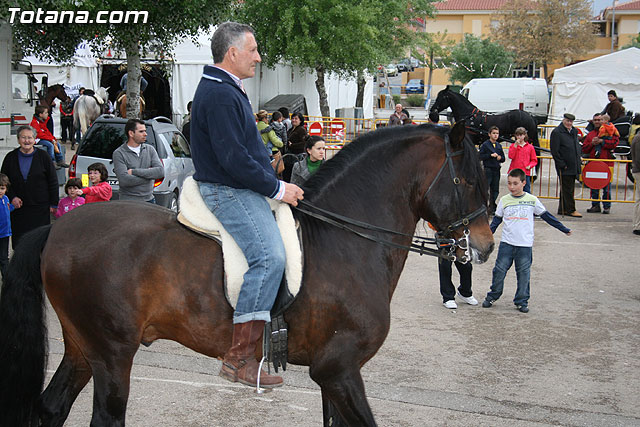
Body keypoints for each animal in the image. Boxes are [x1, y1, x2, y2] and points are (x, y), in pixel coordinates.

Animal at [0, 121, 496, 427]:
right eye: (469, 181)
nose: (485, 246)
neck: (346, 238)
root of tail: (57, 227)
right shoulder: (338, 369)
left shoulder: (335, 375)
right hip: (112, 354)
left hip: (83, 349)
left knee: (51, 408)